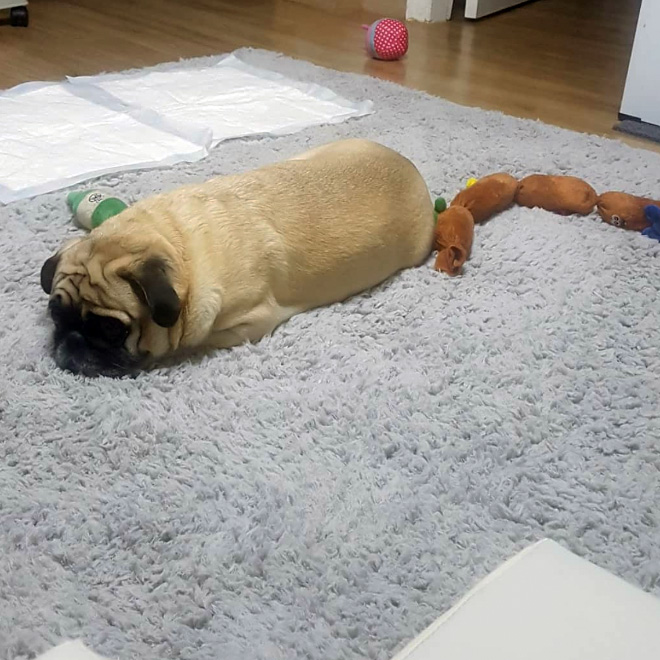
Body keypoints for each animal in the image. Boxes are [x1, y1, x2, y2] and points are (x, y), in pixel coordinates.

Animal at [40, 138, 434, 376]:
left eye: (110, 329)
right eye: (56, 314)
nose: (72, 339)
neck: (177, 248)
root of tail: (411, 168)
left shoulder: (251, 322)